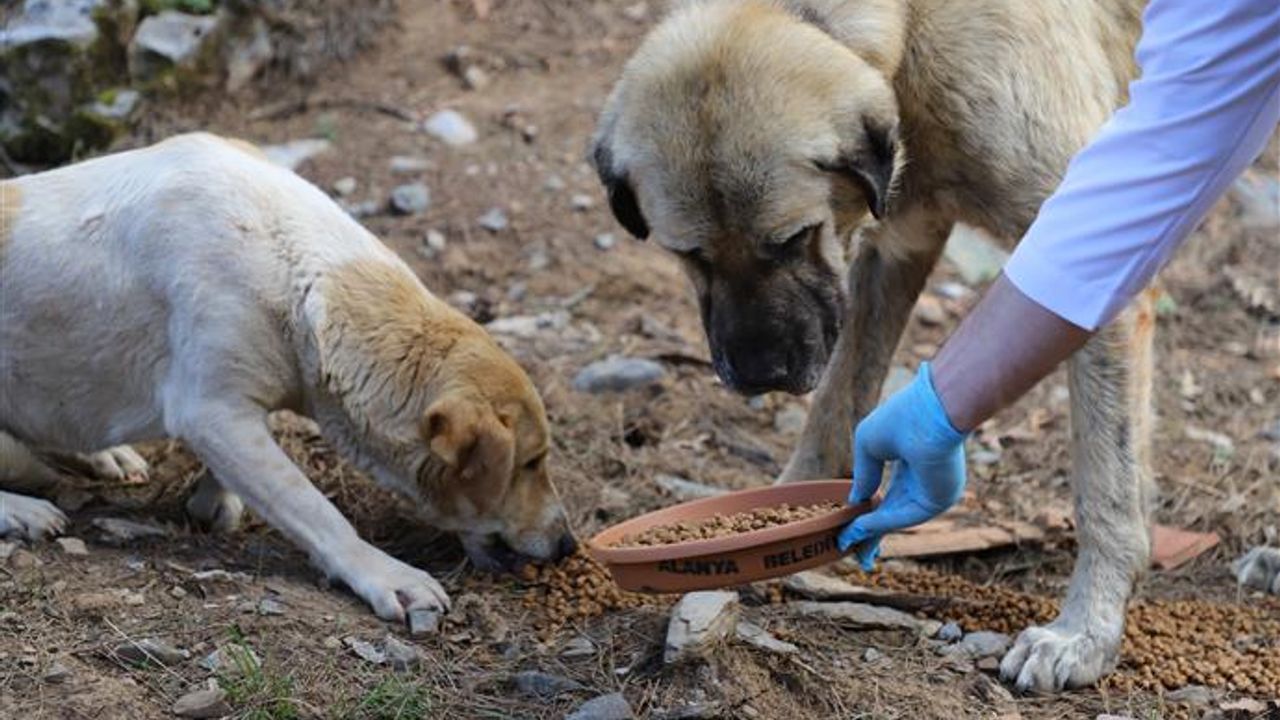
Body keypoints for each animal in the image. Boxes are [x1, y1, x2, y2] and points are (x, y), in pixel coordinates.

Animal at [1, 133, 576, 617]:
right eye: (530, 463)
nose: (568, 546)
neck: (296, 267)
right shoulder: (211, 412)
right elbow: (316, 509)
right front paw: (385, 574)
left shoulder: (234, 412)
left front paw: (214, 500)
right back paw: (24, 510)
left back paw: (107, 455)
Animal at [593, 0, 1167, 691]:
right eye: (690, 255)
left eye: (791, 238)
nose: (761, 375)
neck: (913, 30)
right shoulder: (894, 246)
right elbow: (834, 410)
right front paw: (784, 529)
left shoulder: (1091, 263)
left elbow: (1107, 492)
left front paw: (1085, 631)